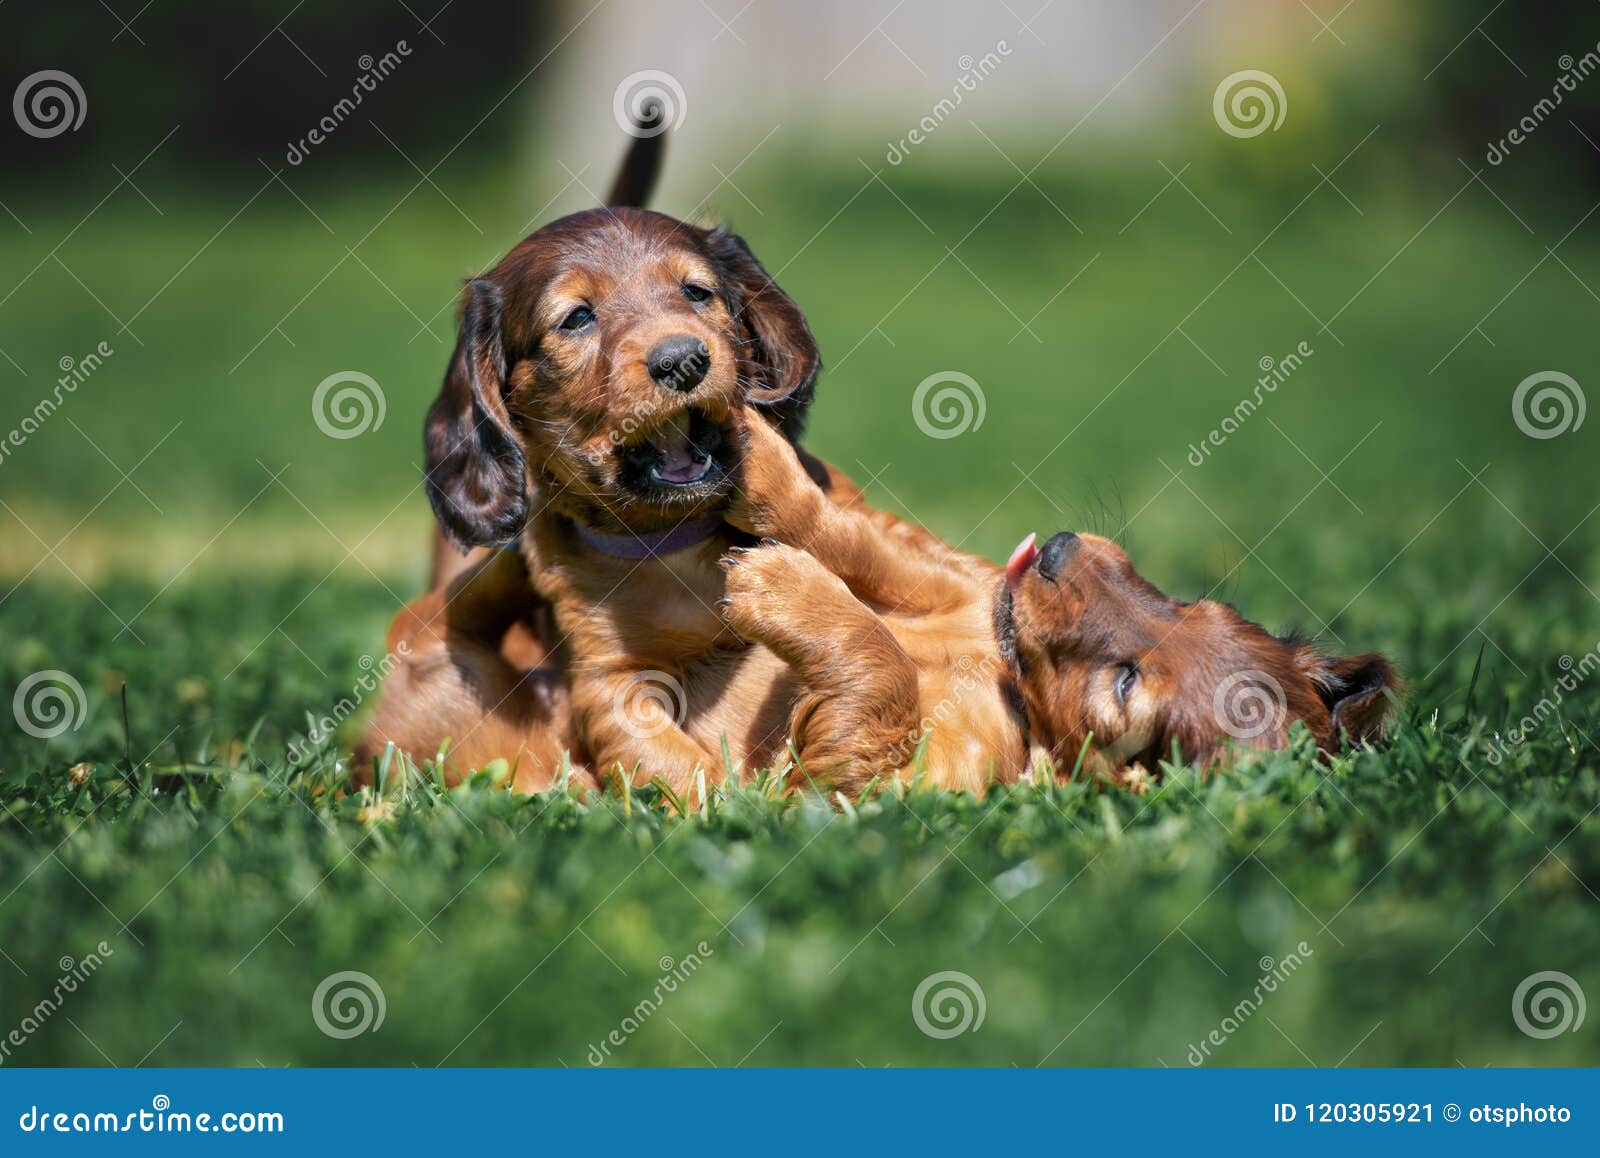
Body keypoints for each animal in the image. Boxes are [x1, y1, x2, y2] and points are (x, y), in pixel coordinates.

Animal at [716, 415, 1401, 796]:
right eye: (1190, 606)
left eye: (1124, 686)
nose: (1057, 551)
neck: (1008, 688)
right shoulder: (971, 589)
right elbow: (862, 541)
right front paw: (764, 464)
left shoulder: (882, 794)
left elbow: (879, 676)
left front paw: (781, 587)